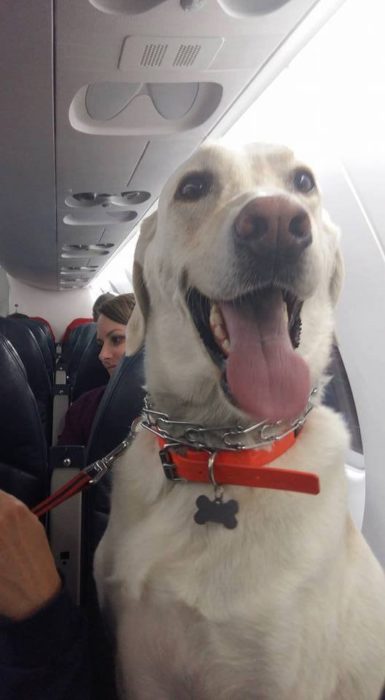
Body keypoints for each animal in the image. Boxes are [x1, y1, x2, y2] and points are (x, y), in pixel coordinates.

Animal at [94, 144, 384, 700]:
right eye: (193, 187)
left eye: (303, 182)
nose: (275, 224)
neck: (216, 451)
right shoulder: (137, 662)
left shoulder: (281, 677)